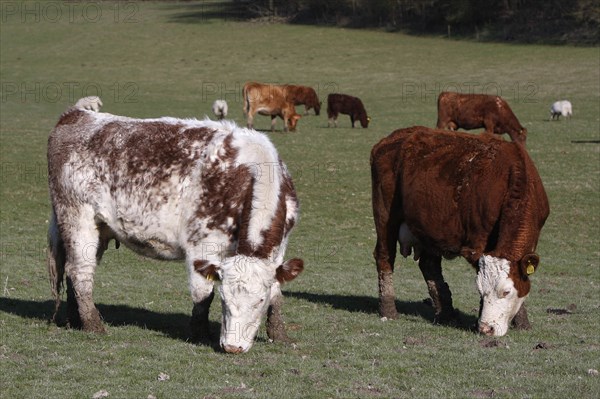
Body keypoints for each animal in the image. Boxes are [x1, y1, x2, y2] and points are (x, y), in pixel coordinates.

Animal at [48, 103, 304, 354]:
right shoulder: (202, 246)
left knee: (73, 269)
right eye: (224, 299)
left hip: (97, 229)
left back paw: (74, 320)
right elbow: (203, 294)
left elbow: (277, 292)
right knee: (80, 271)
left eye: (259, 301)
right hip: (77, 218)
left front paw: (280, 335)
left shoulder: (279, 249)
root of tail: (76, 115)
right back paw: (93, 325)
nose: (232, 347)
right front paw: (200, 334)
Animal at [372, 127, 552, 338]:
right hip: (385, 216)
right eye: (480, 290)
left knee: (429, 265)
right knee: (385, 256)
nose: (487, 328)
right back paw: (388, 310)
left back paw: (447, 314)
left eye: (506, 291)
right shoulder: (477, 243)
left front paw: (522, 322)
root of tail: (393, 137)